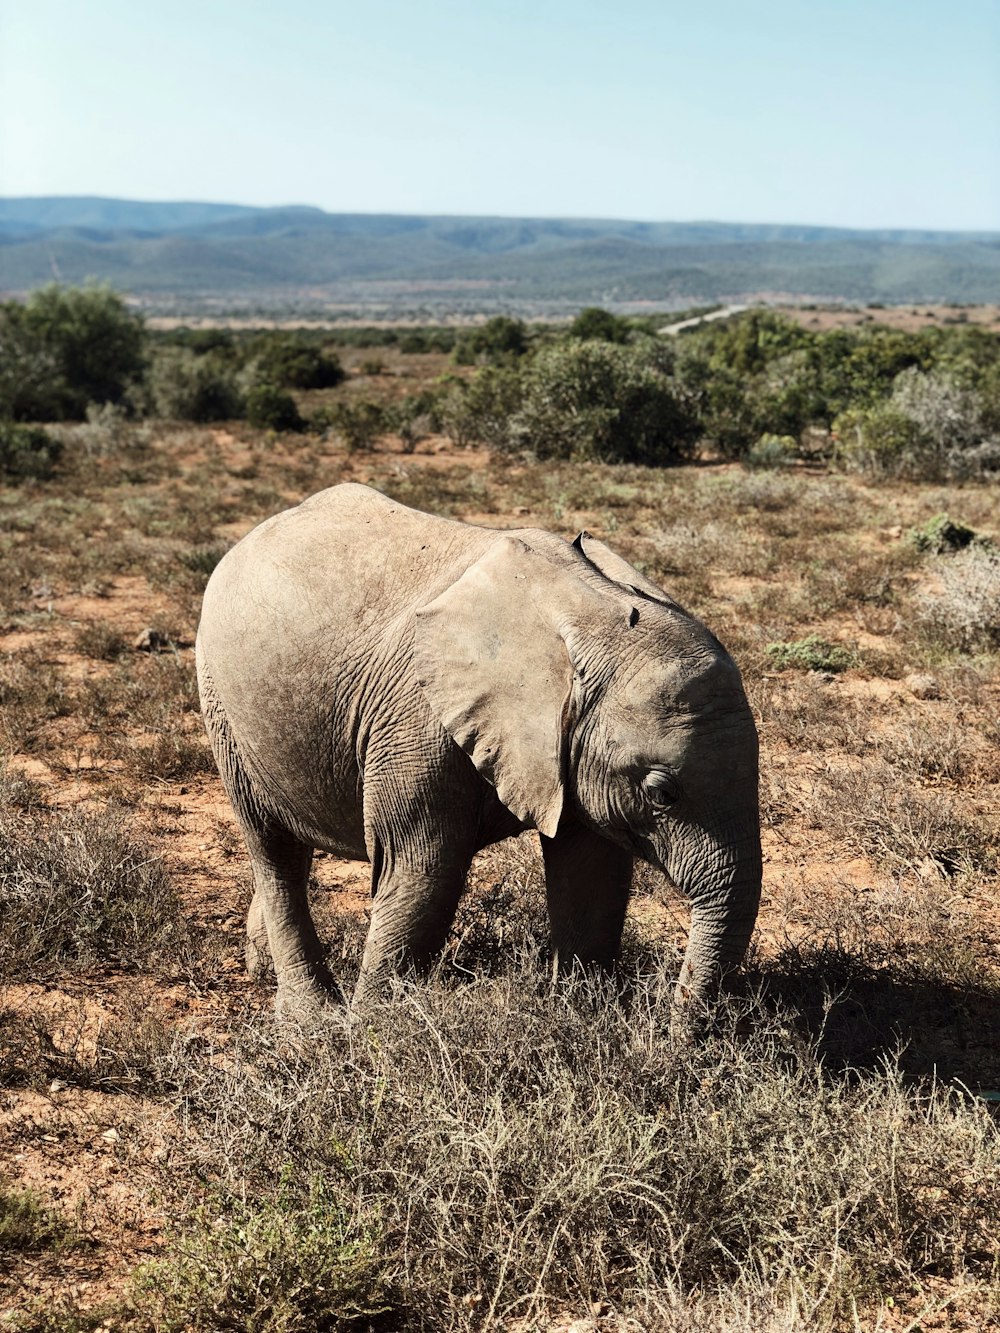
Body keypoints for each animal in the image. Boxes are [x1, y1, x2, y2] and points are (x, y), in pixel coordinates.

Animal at [193, 485, 757, 1013]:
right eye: (662, 794)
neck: (596, 613)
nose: (675, 1021)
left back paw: (262, 969)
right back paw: (310, 1017)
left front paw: (579, 1014)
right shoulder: (416, 721)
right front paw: (371, 1029)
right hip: (221, 703)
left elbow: (591, 871)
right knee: (274, 849)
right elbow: (422, 874)